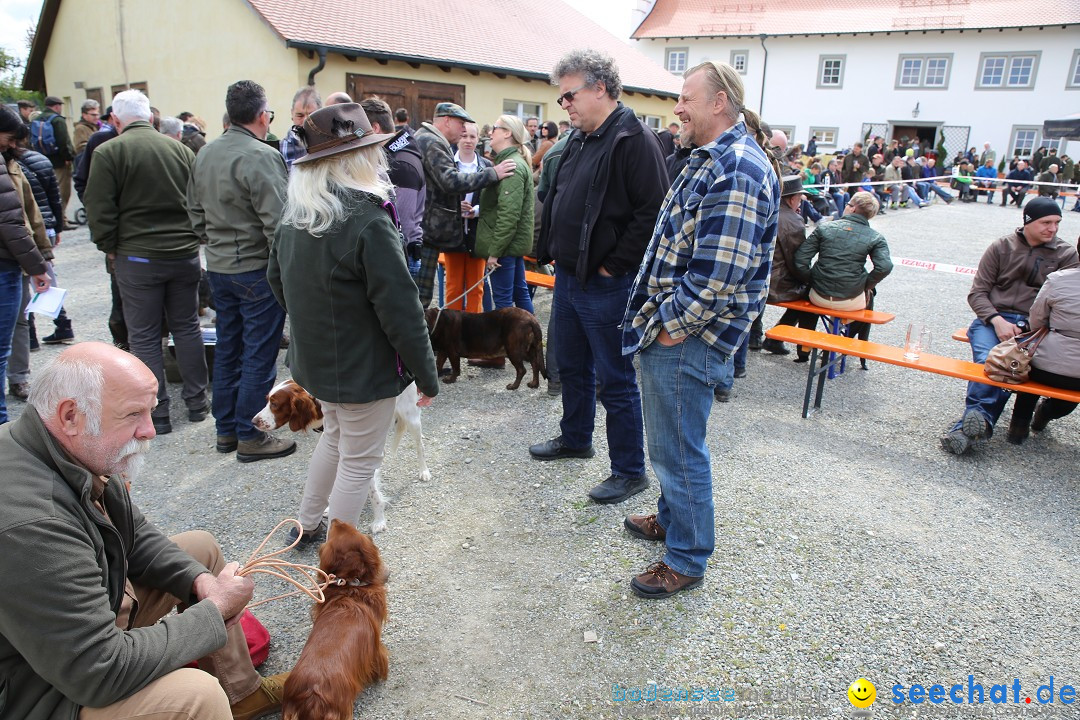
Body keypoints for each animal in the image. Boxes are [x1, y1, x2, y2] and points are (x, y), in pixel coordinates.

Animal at [251, 379, 429, 533]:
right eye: (267, 400)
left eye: (274, 404)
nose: (253, 421)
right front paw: (330, 507)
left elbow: (374, 494)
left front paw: (379, 521)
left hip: (411, 418)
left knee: (420, 446)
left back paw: (424, 472)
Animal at [280, 518, 390, 720]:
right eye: (339, 528)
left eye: (344, 528)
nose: (335, 519)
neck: (349, 588)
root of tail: (312, 694)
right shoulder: (374, 645)